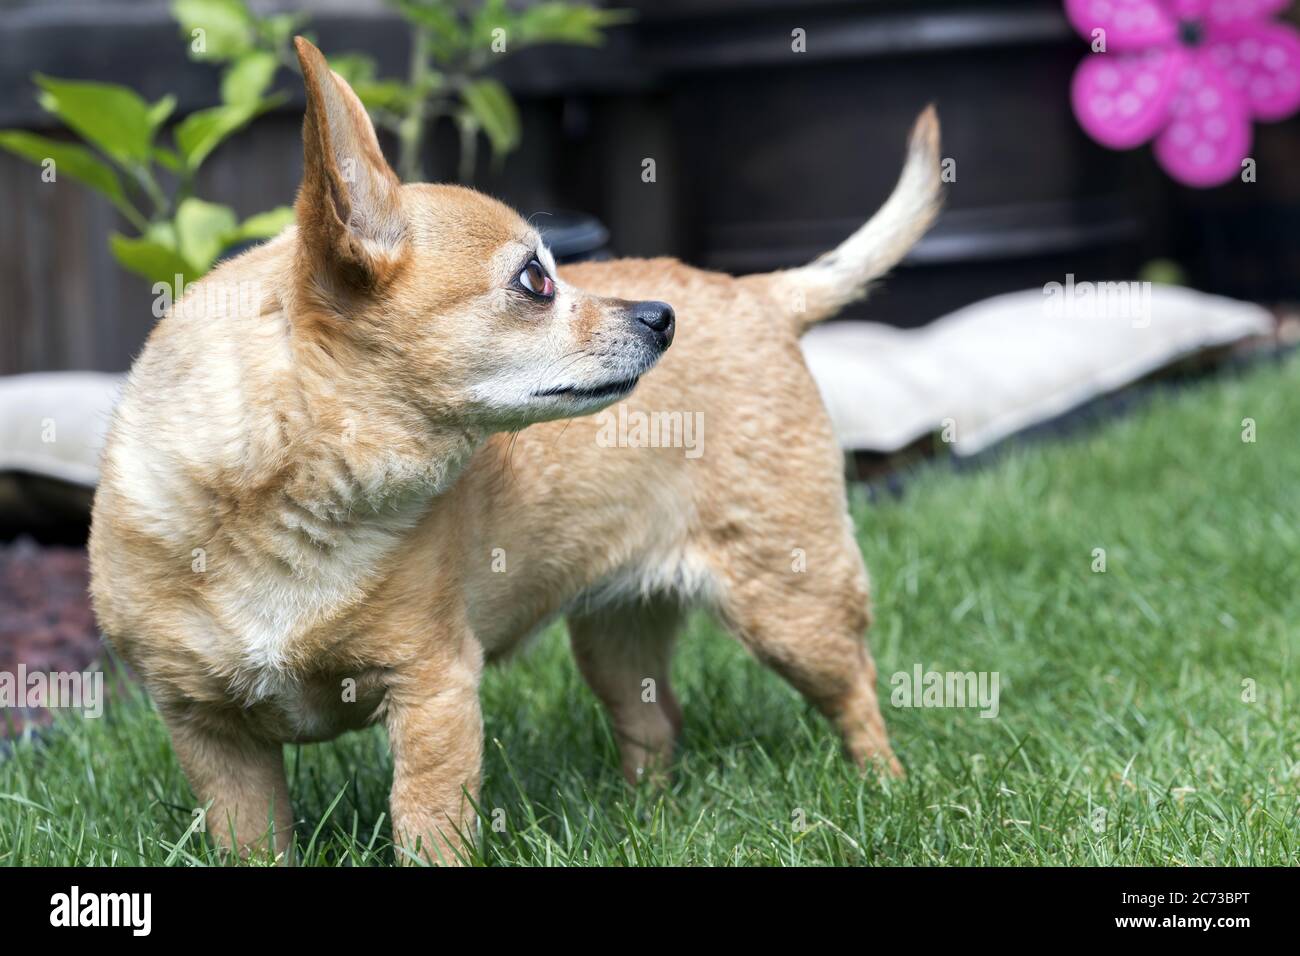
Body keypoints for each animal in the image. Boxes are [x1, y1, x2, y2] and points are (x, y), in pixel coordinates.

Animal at [91, 37, 946, 863]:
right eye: (536, 281)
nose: (663, 317)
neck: (292, 506)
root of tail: (760, 291)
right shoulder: (209, 733)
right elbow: (252, 841)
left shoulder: (432, 690)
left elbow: (426, 826)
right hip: (616, 635)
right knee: (656, 721)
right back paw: (647, 819)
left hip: (793, 604)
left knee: (856, 690)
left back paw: (886, 788)